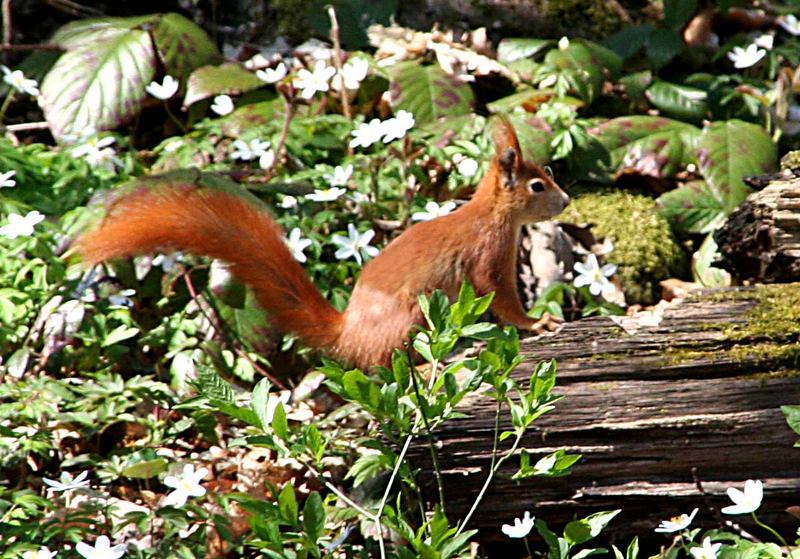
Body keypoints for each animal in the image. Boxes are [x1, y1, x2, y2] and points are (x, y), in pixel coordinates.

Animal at [75, 120, 568, 370]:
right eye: (538, 186)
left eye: (548, 175)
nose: (565, 201)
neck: (490, 215)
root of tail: (348, 335)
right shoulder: (488, 257)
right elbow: (501, 299)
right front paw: (538, 323)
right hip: (412, 318)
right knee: (388, 366)